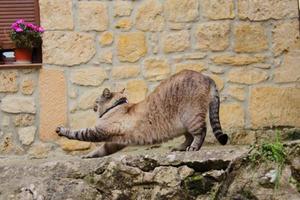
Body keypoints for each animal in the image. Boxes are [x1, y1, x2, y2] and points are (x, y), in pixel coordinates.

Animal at [55, 70, 227, 158]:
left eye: (96, 100)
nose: (92, 105)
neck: (117, 106)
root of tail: (206, 77)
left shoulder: (98, 132)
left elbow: (78, 133)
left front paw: (61, 130)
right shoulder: (115, 142)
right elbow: (101, 150)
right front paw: (89, 156)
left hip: (190, 117)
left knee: (200, 133)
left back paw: (193, 148)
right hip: (183, 124)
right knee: (188, 137)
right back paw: (179, 148)